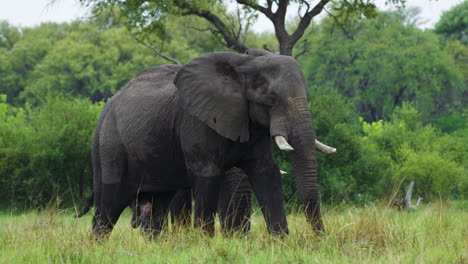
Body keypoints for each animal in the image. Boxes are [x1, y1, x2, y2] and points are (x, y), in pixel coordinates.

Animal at [89, 49, 334, 239]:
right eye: (270, 99)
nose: (320, 238)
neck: (244, 65)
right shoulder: (195, 122)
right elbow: (208, 174)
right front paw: (204, 242)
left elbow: (266, 172)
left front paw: (281, 242)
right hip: (111, 146)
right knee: (110, 204)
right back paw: (97, 246)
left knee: (158, 202)